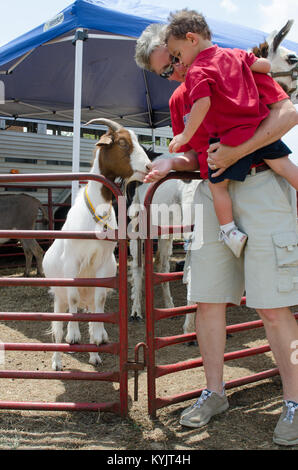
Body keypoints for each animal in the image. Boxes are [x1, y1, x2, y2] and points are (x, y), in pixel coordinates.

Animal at [42, 118, 151, 370]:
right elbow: (72, 300)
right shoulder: (71, 263)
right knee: (58, 328)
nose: (149, 167)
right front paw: (73, 335)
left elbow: (101, 301)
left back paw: (95, 355)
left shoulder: (103, 265)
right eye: (122, 143)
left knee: (92, 318)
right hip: (58, 298)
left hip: (89, 298)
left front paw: (101, 336)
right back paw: (57, 362)